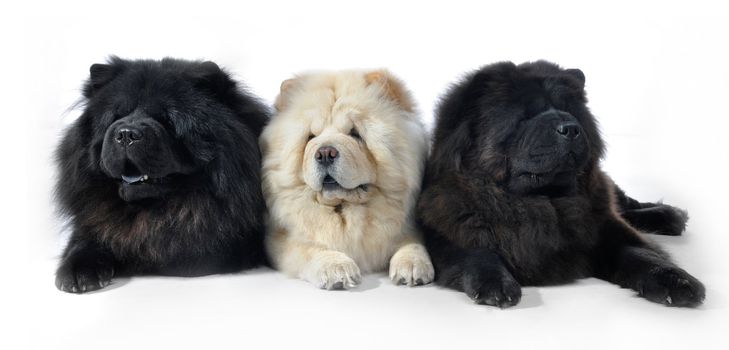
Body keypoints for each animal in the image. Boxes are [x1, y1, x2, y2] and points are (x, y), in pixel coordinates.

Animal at [262, 69, 432, 290]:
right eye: (310, 137)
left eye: (355, 133)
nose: (325, 153)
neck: (345, 208)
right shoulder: (280, 238)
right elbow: (309, 248)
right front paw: (336, 269)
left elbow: (411, 241)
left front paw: (412, 266)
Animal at [418, 61, 704, 308]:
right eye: (525, 116)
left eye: (568, 110)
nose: (570, 128)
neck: (541, 203)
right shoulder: (447, 228)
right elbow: (477, 251)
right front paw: (495, 284)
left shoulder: (605, 227)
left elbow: (640, 252)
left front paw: (678, 281)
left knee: (626, 203)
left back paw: (670, 216)